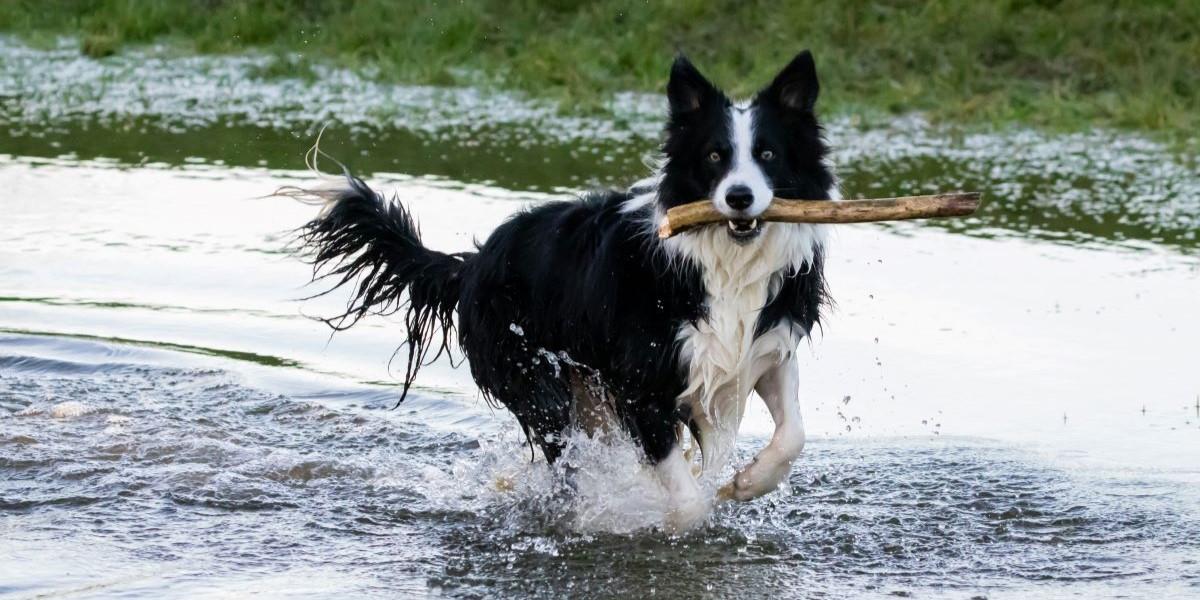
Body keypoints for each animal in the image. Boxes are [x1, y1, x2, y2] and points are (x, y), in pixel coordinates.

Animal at [300, 51, 835, 530]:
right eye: (714, 156)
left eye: (767, 154)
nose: (739, 197)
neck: (724, 260)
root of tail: (474, 263)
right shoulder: (642, 382)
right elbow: (684, 499)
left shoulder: (766, 345)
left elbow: (793, 435)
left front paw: (745, 483)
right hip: (537, 380)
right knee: (566, 461)